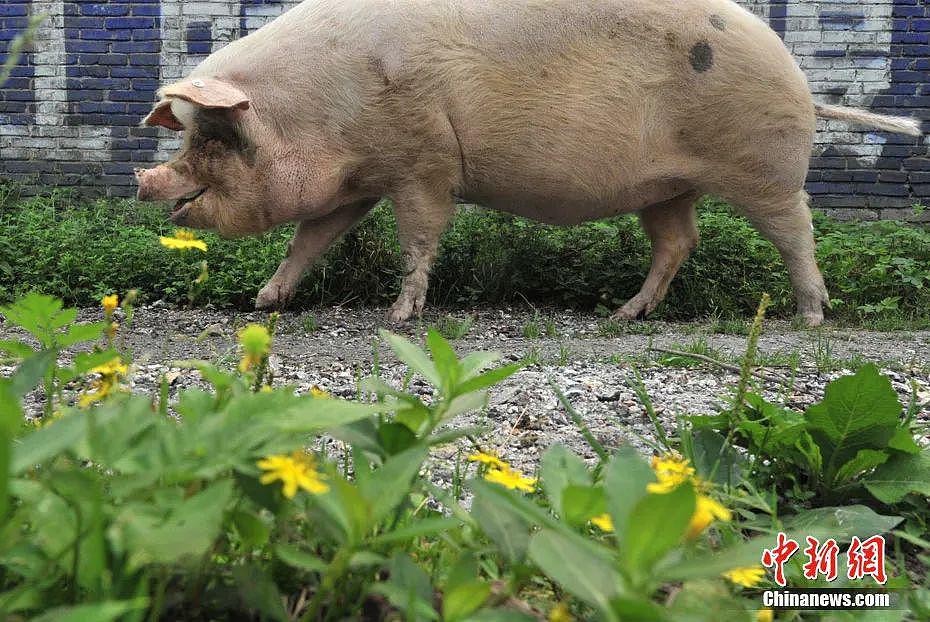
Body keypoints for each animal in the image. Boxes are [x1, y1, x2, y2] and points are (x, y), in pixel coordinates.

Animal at [134, 0, 916, 330]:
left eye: (213, 137)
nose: (146, 179)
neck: (324, 105)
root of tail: (805, 86)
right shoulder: (356, 180)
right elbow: (310, 240)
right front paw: (262, 303)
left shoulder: (424, 159)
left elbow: (419, 237)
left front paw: (400, 315)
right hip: (667, 184)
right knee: (678, 241)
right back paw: (623, 316)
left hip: (765, 168)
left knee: (798, 231)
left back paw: (810, 321)